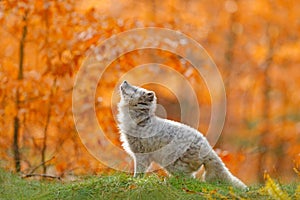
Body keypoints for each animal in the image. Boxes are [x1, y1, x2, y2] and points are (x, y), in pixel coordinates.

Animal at [116, 80, 246, 189]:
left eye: (135, 90)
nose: (125, 81)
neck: (140, 121)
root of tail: (208, 148)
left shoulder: (141, 155)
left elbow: (138, 172)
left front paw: (134, 182)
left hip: (173, 165)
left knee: (189, 180)